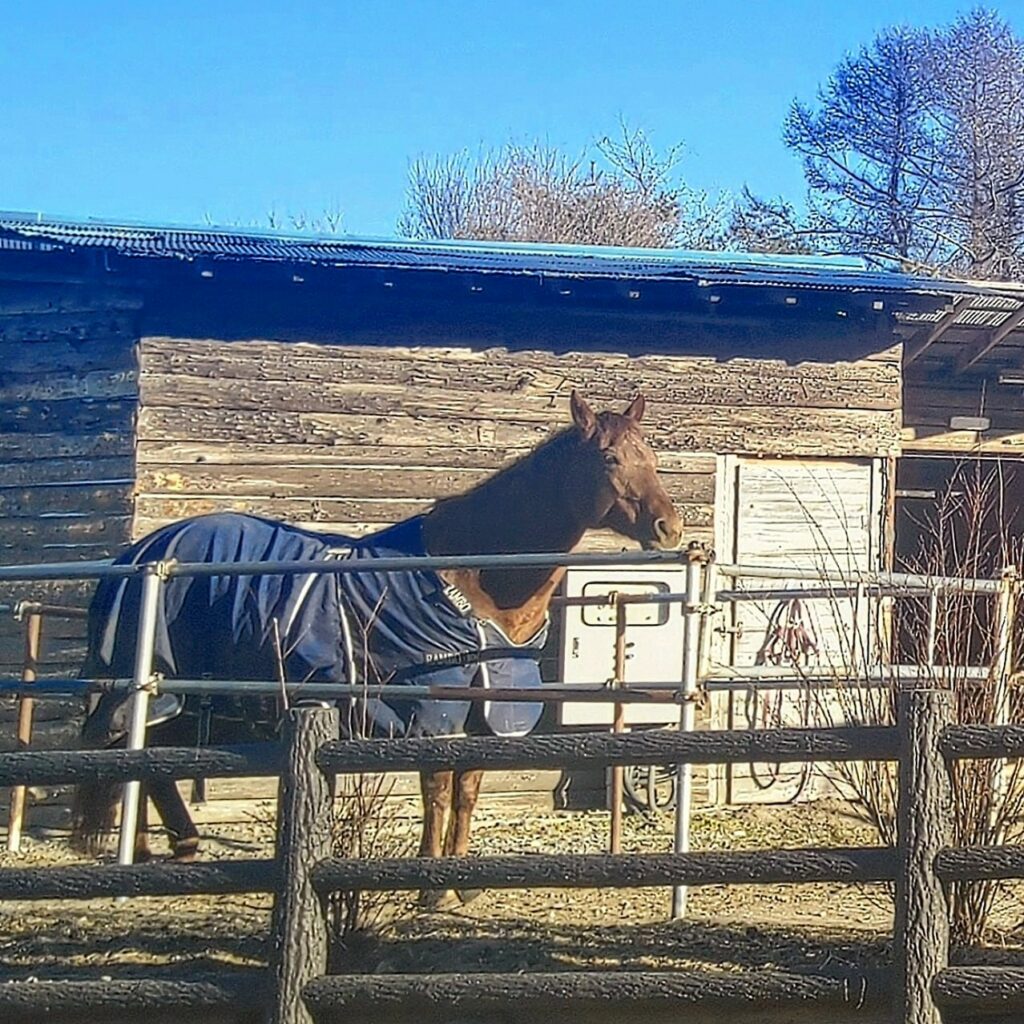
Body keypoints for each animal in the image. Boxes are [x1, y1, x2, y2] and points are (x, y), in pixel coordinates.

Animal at [70, 387, 679, 892]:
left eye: (652, 457)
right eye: (610, 458)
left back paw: (172, 846)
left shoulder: (489, 706)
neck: (472, 574)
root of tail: (141, 552)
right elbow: (437, 788)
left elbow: (468, 789)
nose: (669, 527)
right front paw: (430, 884)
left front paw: (461, 881)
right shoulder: (435, 705)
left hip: (178, 685)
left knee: (154, 752)